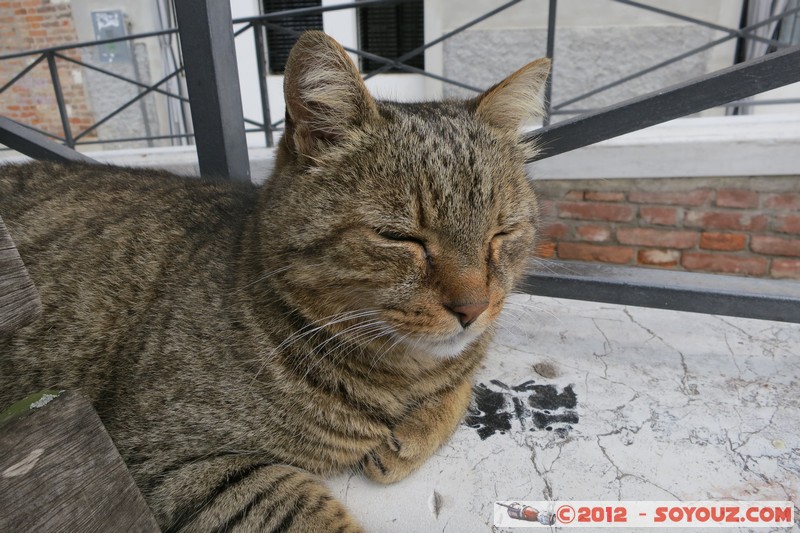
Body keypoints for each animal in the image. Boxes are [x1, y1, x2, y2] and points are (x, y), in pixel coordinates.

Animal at [0, 31, 552, 528]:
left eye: (502, 233)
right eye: (400, 237)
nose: (472, 307)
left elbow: (464, 374)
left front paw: (414, 432)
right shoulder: (161, 459)